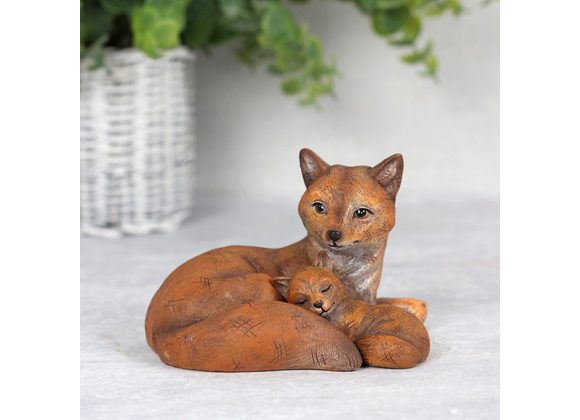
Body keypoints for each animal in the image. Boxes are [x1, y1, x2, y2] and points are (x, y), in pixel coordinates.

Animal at [145, 148, 426, 370]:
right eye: (320, 207)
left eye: (361, 212)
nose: (333, 235)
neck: (355, 276)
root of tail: (158, 334)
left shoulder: (371, 299)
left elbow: (419, 306)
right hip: (261, 283)